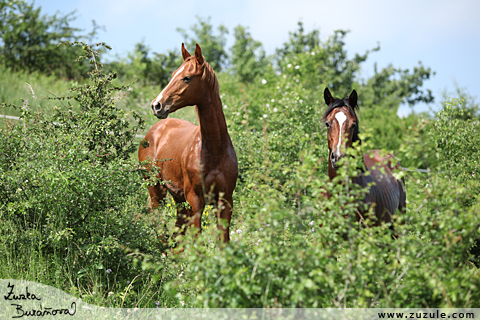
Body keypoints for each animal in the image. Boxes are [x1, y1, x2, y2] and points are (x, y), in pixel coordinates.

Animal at [138, 43, 237, 242]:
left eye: (187, 78)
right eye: (173, 74)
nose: (156, 105)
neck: (215, 149)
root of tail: (153, 132)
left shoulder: (225, 201)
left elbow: (223, 241)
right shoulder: (196, 200)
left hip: (178, 199)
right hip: (156, 191)